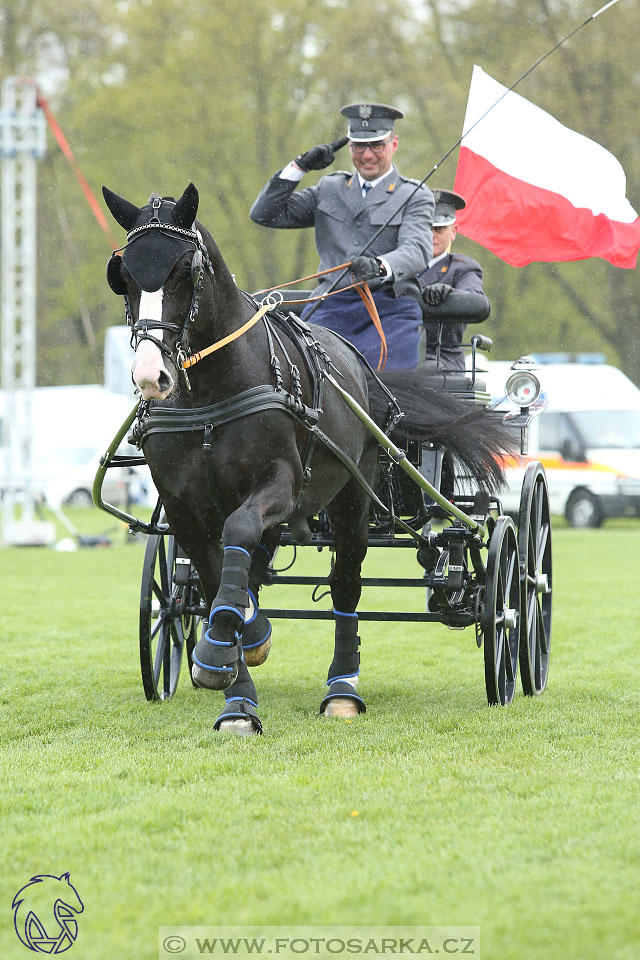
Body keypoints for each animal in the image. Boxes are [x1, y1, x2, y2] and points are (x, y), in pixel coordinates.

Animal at [102, 182, 508, 736]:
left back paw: (343, 690)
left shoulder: (281, 483)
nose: (151, 376)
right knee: (255, 568)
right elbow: (217, 581)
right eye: (122, 276)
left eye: (186, 271)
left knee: (346, 587)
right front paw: (235, 685)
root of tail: (360, 363)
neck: (211, 390)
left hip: (353, 501)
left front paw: (225, 647)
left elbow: (239, 539)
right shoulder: (185, 509)